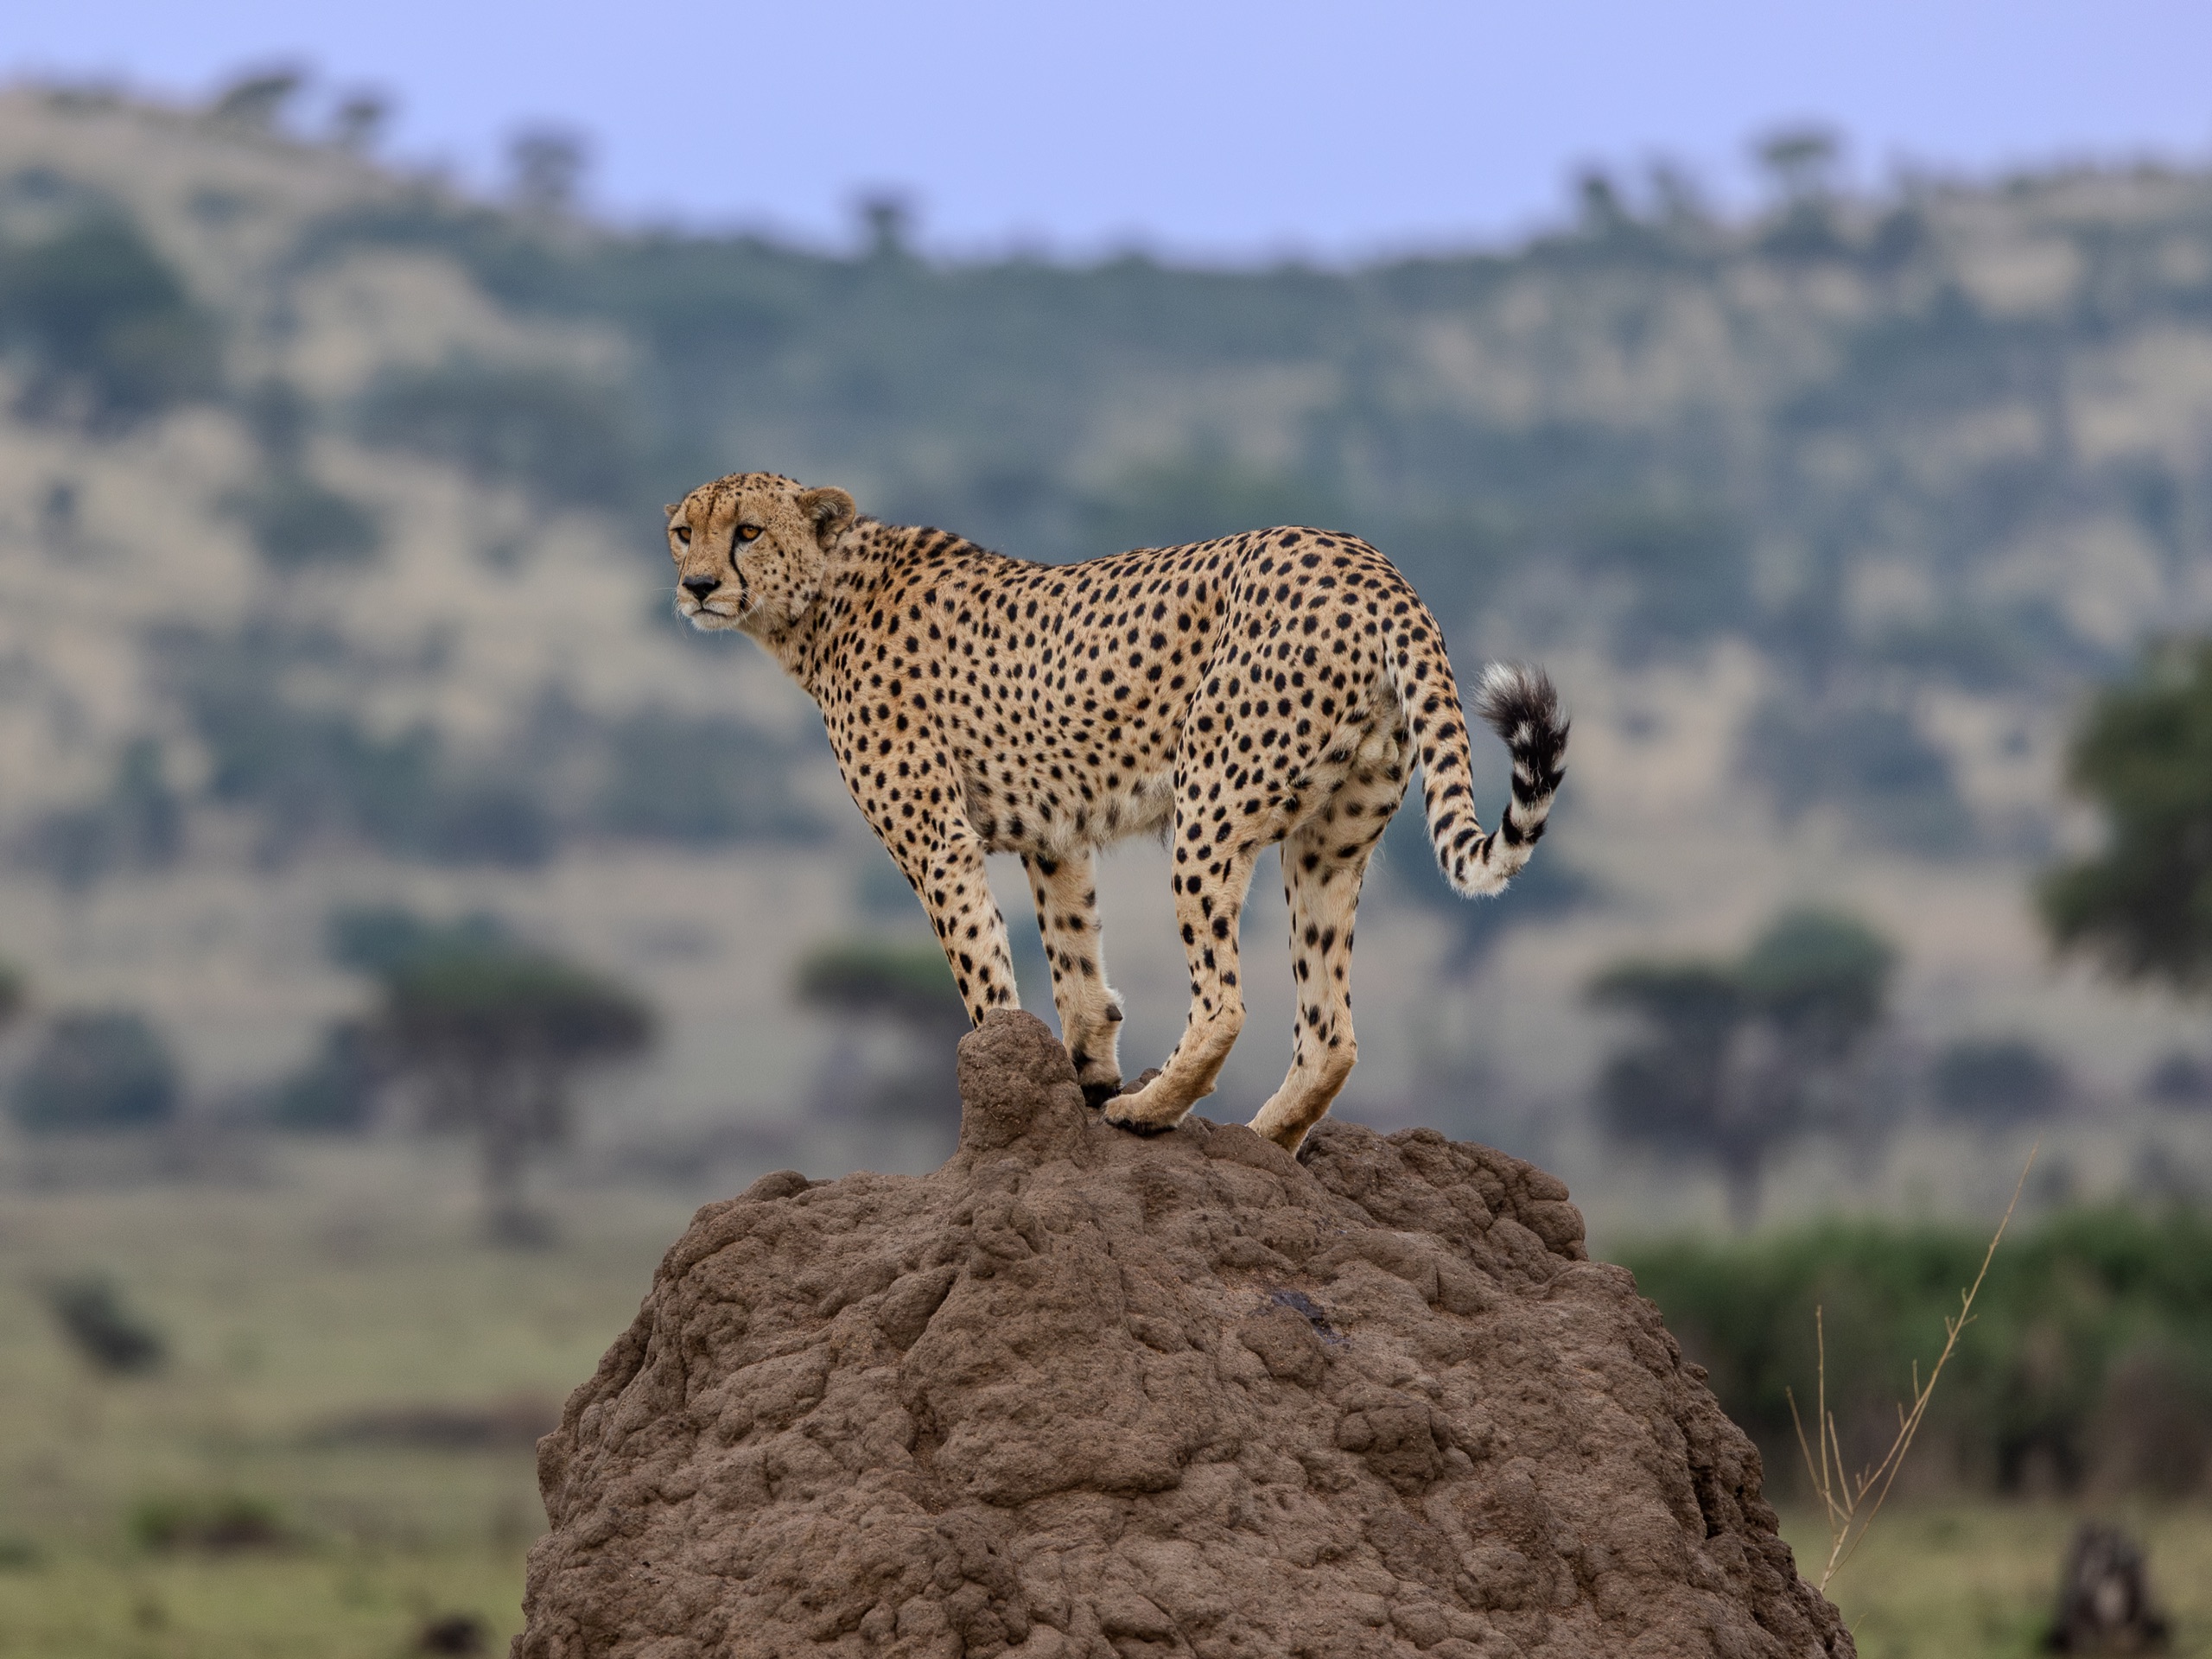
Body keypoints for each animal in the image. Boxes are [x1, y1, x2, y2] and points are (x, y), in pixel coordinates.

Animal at [667, 471, 1567, 1153]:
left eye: (747, 531)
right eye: (683, 531)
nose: (697, 585)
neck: (823, 602)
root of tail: (1370, 561)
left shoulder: (937, 843)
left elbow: (982, 972)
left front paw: (1020, 1082)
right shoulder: (1053, 834)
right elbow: (1076, 963)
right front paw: (1085, 1074)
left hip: (1212, 801)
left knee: (1224, 1003)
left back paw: (1150, 1110)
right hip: (1329, 842)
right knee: (1331, 1033)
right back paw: (1263, 1139)